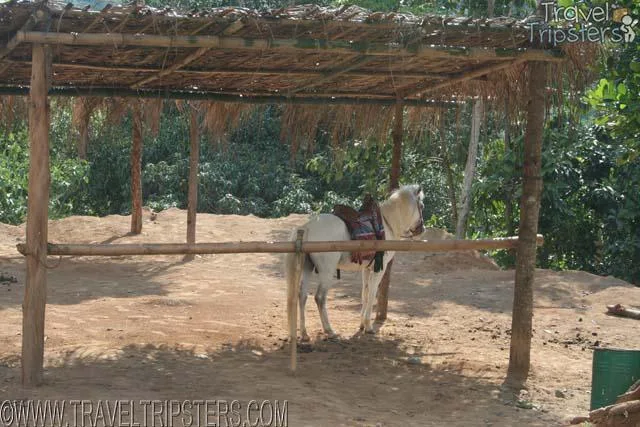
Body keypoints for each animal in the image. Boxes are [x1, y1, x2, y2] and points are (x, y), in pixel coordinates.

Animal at [284, 184, 425, 341]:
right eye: (422, 206)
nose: (421, 229)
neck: (387, 223)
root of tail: (308, 226)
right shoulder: (378, 270)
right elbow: (372, 294)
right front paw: (368, 327)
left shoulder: (367, 269)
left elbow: (365, 293)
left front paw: (362, 325)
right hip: (327, 272)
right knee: (319, 298)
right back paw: (329, 331)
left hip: (307, 268)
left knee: (302, 296)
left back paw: (304, 334)